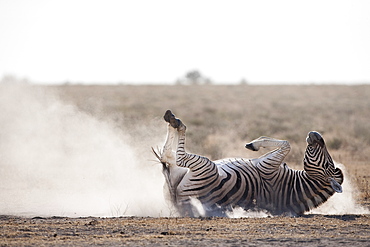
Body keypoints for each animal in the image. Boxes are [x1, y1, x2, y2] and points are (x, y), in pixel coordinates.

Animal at [152, 110, 342, 216]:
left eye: (327, 166)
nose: (316, 134)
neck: (293, 186)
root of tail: (179, 205)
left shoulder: (267, 166)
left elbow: (287, 144)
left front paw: (254, 144)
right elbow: (286, 143)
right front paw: (255, 142)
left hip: (207, 167)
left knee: (175, 157)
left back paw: (175, 122)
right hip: (179, 178)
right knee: (169, 159)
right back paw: (172, 121)